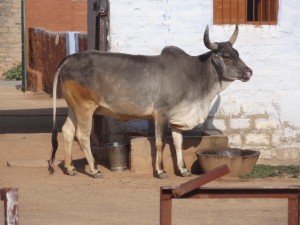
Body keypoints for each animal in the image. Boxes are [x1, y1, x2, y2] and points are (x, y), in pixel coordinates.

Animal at [50, 25, 252, 178]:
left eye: (237, 52)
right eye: (226, 56)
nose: (248, 72)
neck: (194, 76)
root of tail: (70, 58)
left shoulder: (177, 119)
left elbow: (178, 143)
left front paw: (183, 169)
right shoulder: (162, 114)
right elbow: (160, 142)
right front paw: (161, 171)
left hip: (73, 107)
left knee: (67, 131)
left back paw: (70, 168)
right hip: (85, 108)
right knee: (82, 135)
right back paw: (94, 169)